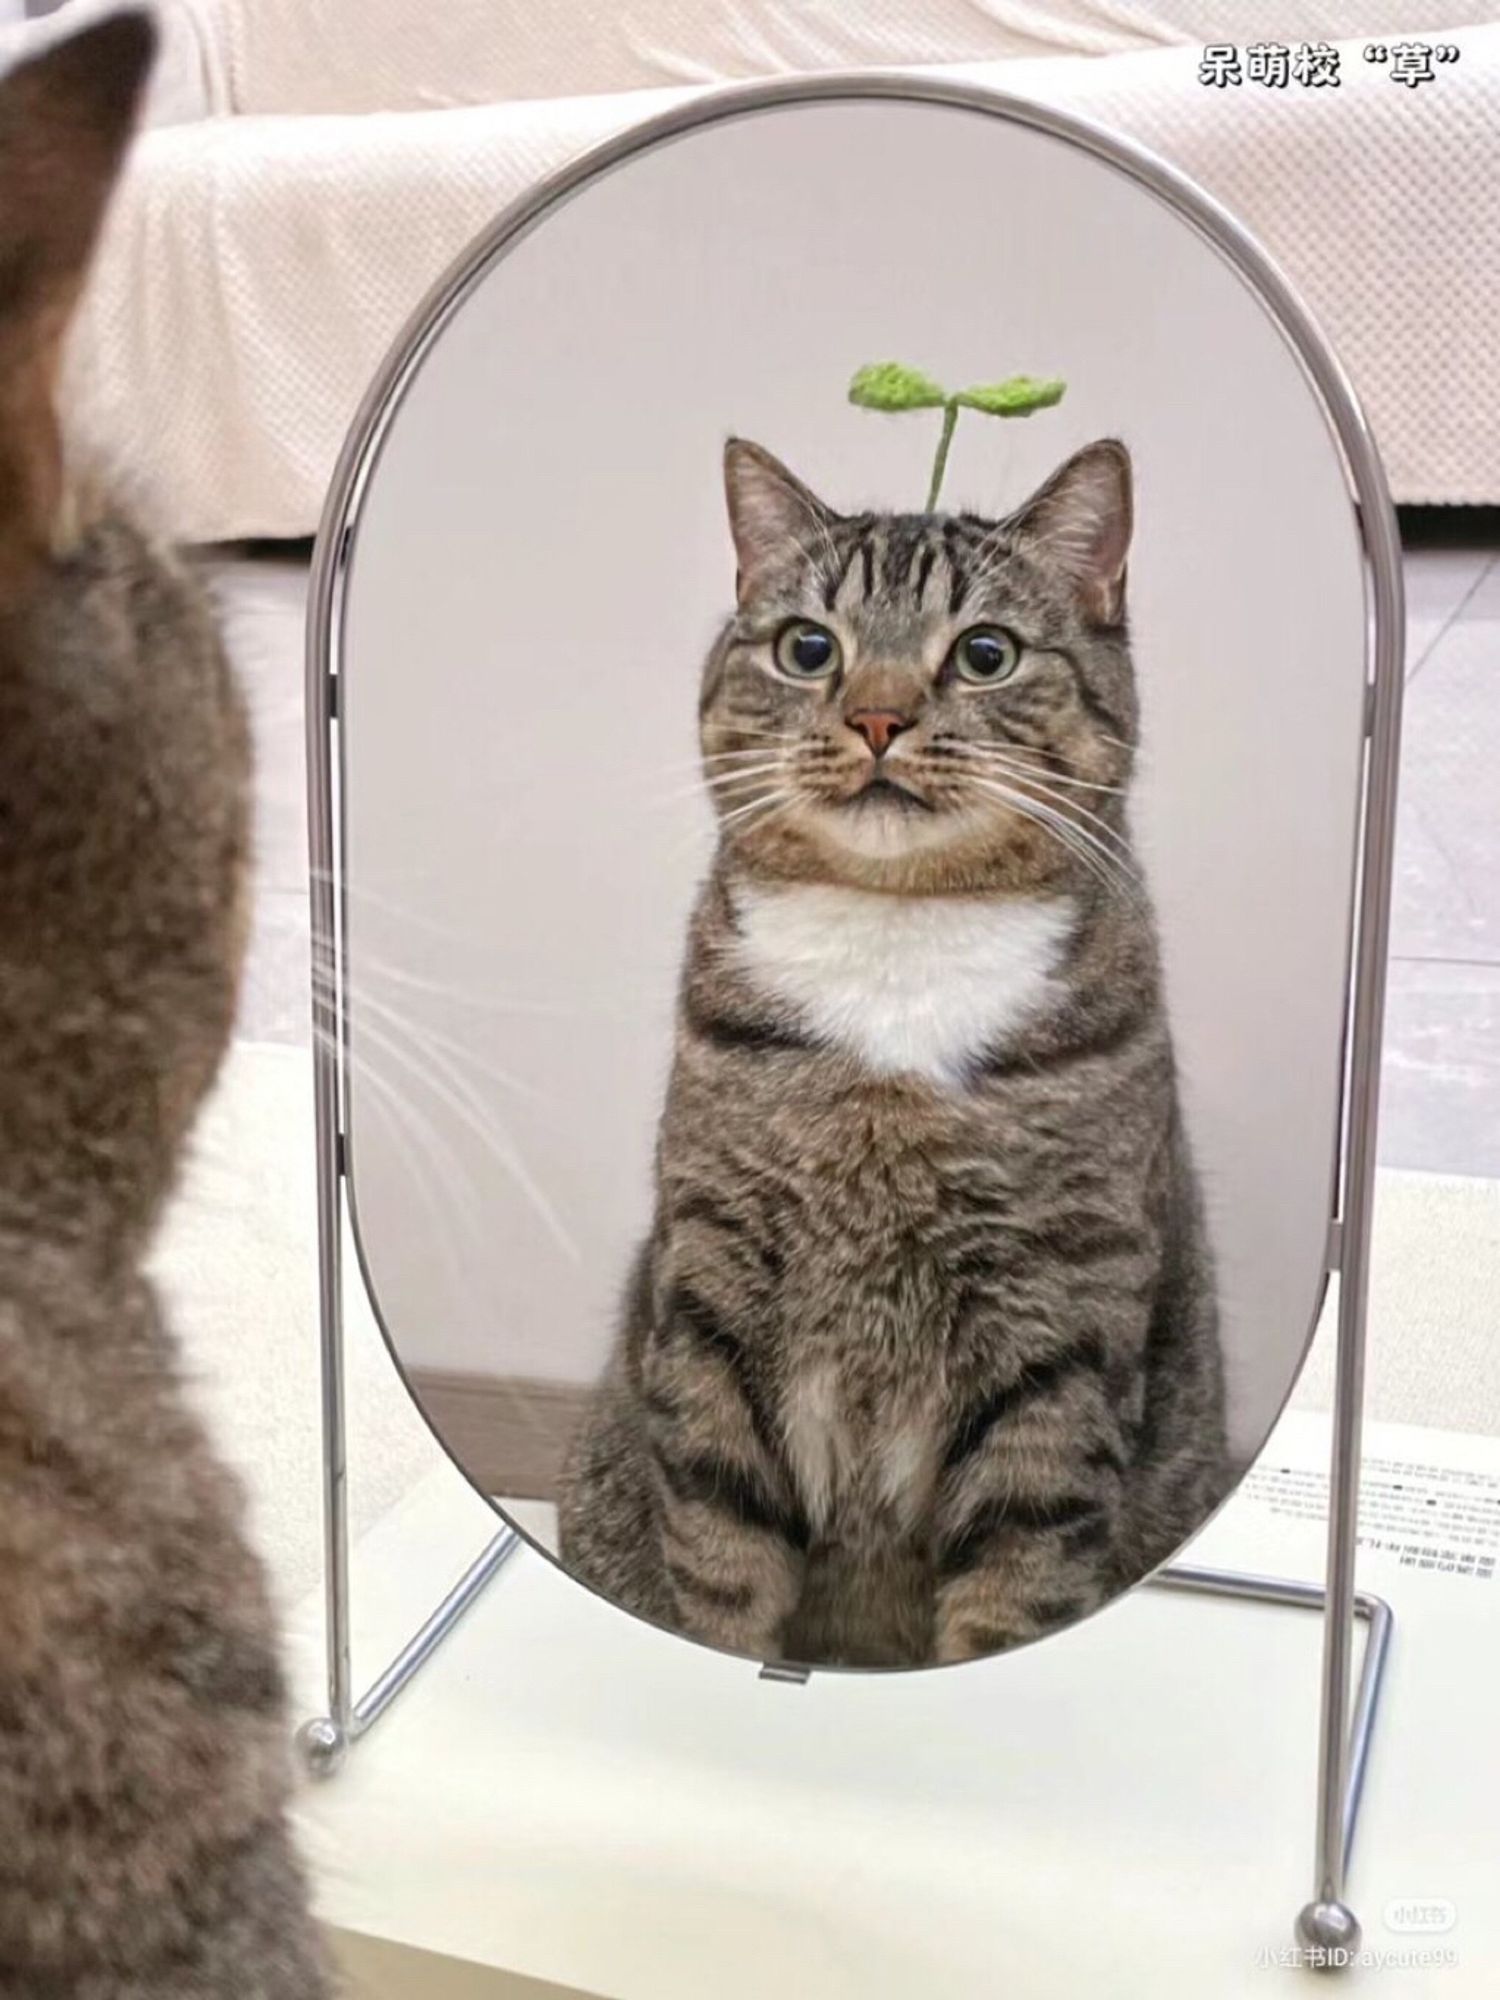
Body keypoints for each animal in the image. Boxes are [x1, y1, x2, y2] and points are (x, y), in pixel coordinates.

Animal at [564, 438, 1232, 1672]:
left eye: (984, 653)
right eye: (807, 647)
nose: (877, 719)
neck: (897, 935)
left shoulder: (1058, 1329)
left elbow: (1016, 1584)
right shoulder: (718, 1293)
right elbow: (720, 1565)